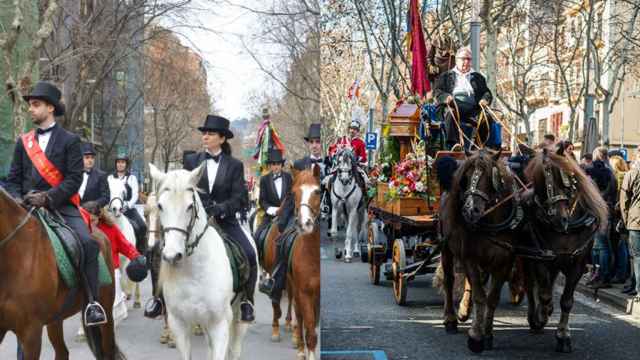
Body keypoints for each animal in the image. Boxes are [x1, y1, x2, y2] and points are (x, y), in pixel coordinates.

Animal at [149, 163, 251, 360]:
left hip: (238, 317)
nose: (172, 256)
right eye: (160, 206)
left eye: (190, 206)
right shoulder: (179, 324)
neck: (193, 272)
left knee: (235, 349)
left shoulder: (219, 324)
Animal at [440, 148, 524, 352]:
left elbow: (491, 297)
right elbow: (480, 296)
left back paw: (464, 310)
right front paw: (475, 336)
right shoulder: (470, 257)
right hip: (446, 247)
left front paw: (487, 334)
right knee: (449, 280)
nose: (470, 211)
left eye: (489, 177)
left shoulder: (505, 262)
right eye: (466, 176)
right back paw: (451, 319)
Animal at [524, 148, 608, 352]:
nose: (559, 219)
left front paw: (563, 334)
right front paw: (542, 315)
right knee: (531, 287)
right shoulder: (541, 260)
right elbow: (544, 295)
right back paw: (535, 316)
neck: (566, 231)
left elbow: (567, 301)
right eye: (539, 180)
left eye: (565, 177)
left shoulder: (577, 264)